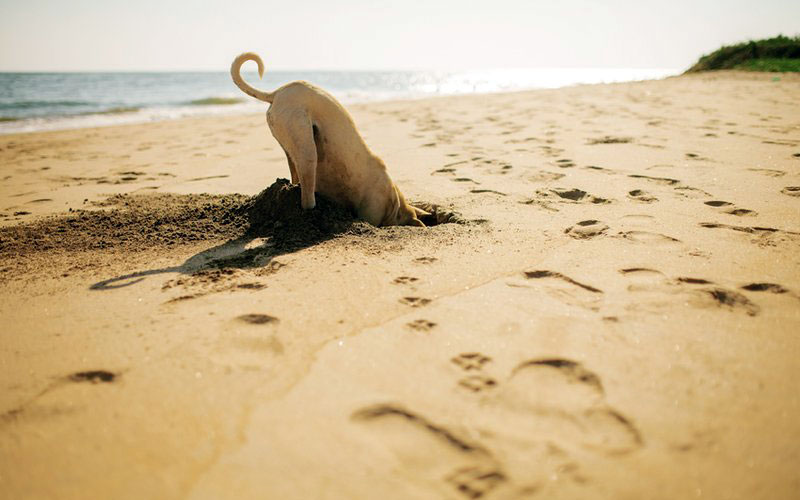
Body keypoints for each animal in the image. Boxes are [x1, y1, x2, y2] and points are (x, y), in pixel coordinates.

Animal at [231, 51, 432, 226]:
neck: (394, 202)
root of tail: (276, 93)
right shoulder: (371, 212)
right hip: (306, 148)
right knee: (307, 196)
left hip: (290, 144)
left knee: (295, 174)